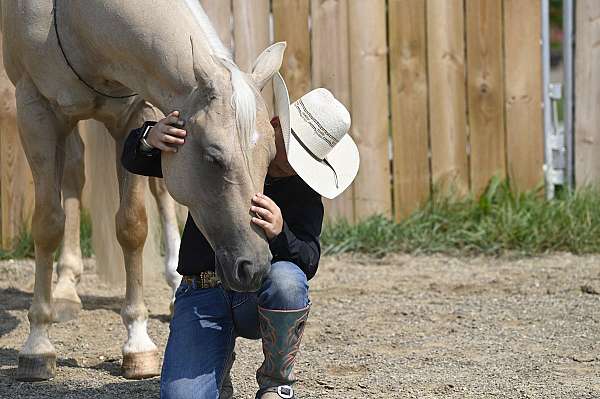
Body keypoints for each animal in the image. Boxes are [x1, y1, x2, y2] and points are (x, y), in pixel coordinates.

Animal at [1, 0, 284, 382]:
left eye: (270, 155)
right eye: (214, 157)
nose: (254, 266)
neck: (79, 21)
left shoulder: (137, 110)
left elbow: (132, 225)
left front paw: (138, 345)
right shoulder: (35, 109)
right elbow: (48, 225)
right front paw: (37, 345)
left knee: (158, 190)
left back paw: (171, 282)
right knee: (73, 174)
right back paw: (65, 290)